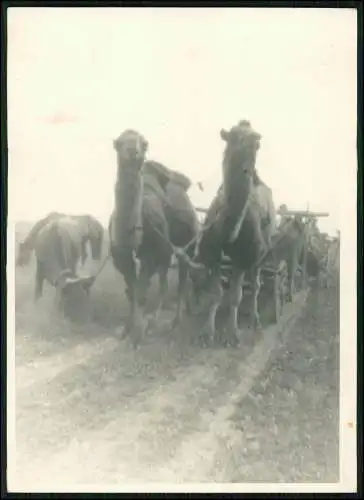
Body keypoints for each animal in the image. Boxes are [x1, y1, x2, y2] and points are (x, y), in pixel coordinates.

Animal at [108, 131, 199, 346]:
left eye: (144, 144)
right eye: (119, 143)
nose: (132, 151)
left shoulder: (153, 255)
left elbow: (140, 292)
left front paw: (138, 335)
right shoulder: (122, 259)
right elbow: (131, 291)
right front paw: (128, 329)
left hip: (186, 245)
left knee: (182, 278)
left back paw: (174, 321)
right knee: (165, 279)